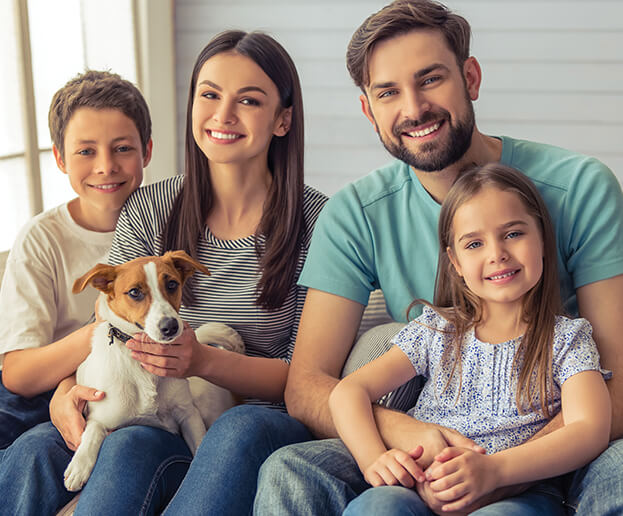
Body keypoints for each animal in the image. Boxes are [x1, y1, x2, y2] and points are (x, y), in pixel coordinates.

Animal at [64, 250, 245, 492]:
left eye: (172, 284)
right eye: (134, 292)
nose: (171, 326)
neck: (143, 369)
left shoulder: (188, 414)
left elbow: (199, 445)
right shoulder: (99, 417)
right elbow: (91, 433)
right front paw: (79, 465)